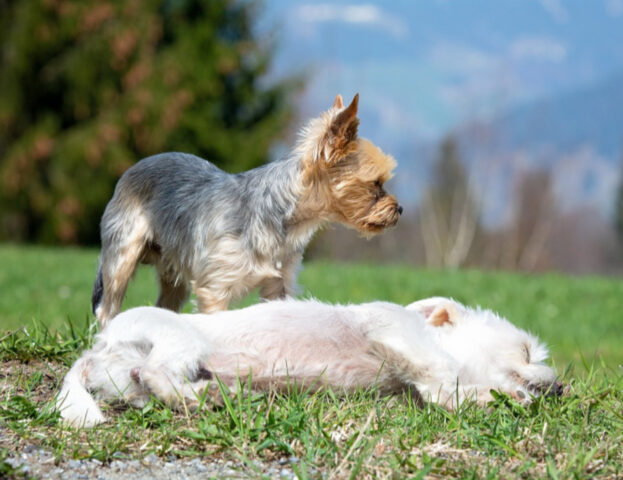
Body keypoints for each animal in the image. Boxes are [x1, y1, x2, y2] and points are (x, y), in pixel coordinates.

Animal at [58, 296, 564, 428]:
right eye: (525, 351)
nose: (562, 388)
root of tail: (98, 346)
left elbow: (439, 390)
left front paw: (495, 396)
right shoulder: (393, 331)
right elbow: (442, 381)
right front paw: (494, 395)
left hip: (127, 381)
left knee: (145, 388)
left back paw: (213, 394)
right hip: (180, 340)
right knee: (155, 371)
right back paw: (206, 396)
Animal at [93, 93, 404, 326]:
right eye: (376, 183)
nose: (400, 209)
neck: (281, 217)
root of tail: (133, 168)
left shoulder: (279, 285)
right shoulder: (215, 288)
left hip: (173, 273)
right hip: (122, 255)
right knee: (107, 307)